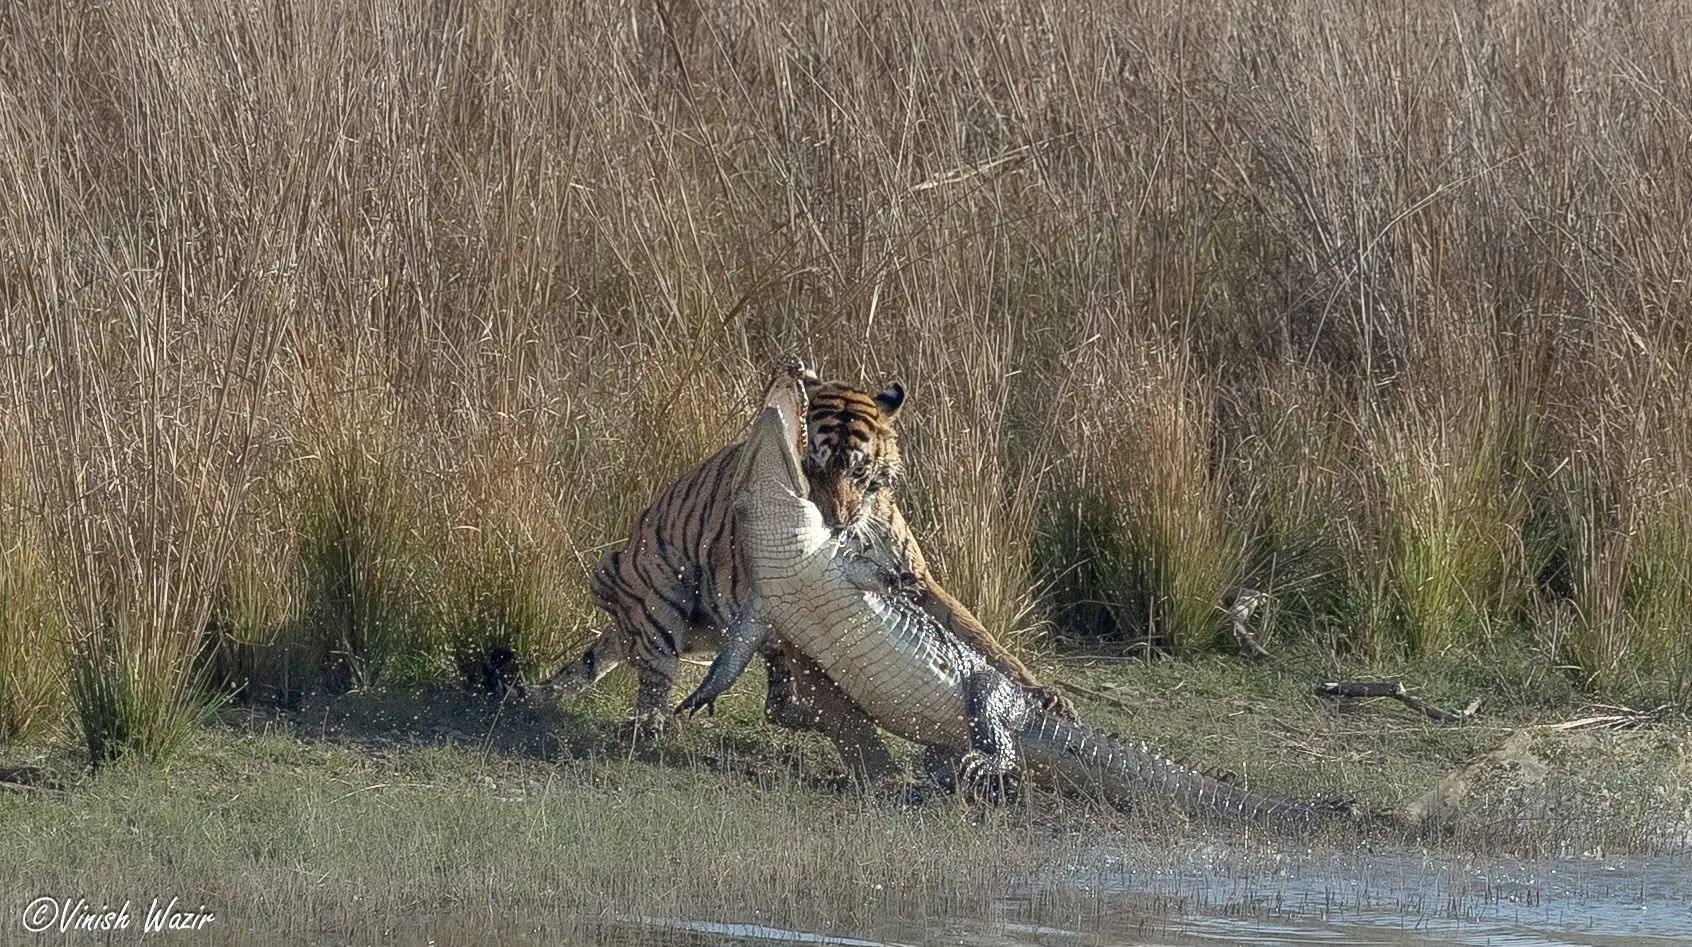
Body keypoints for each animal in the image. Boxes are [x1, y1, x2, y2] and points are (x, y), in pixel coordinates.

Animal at [541, 358, 1069, 781]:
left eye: (858, 471)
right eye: (812, 466)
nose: (835, 519)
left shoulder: (915, 578)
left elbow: (977, 634)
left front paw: (1045, 696)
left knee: (780, 697)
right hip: (653, 595)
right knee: (659, 672)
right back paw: (652, 723)